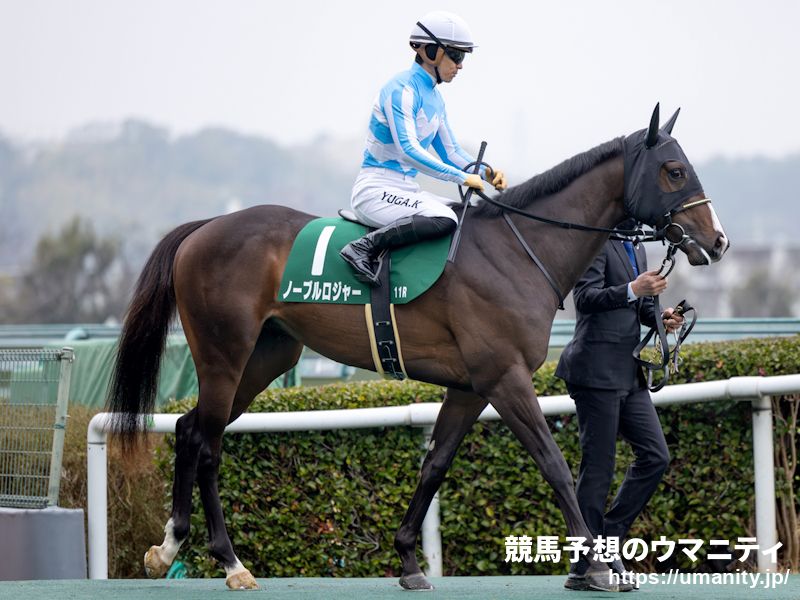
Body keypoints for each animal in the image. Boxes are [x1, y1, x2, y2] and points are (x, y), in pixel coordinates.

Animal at [107, 105, 728, 591]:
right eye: (674, 170)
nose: (717, 240)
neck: (517, 250)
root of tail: (205, 227)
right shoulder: (505, 377)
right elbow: (552, 463)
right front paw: (594, 566)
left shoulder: (470, 386)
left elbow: (435, 464)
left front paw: (408, 558)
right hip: (225, 354)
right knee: (209, 443)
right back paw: (230, 562)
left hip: (265, 358)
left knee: (190, 428)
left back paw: (170, 547)